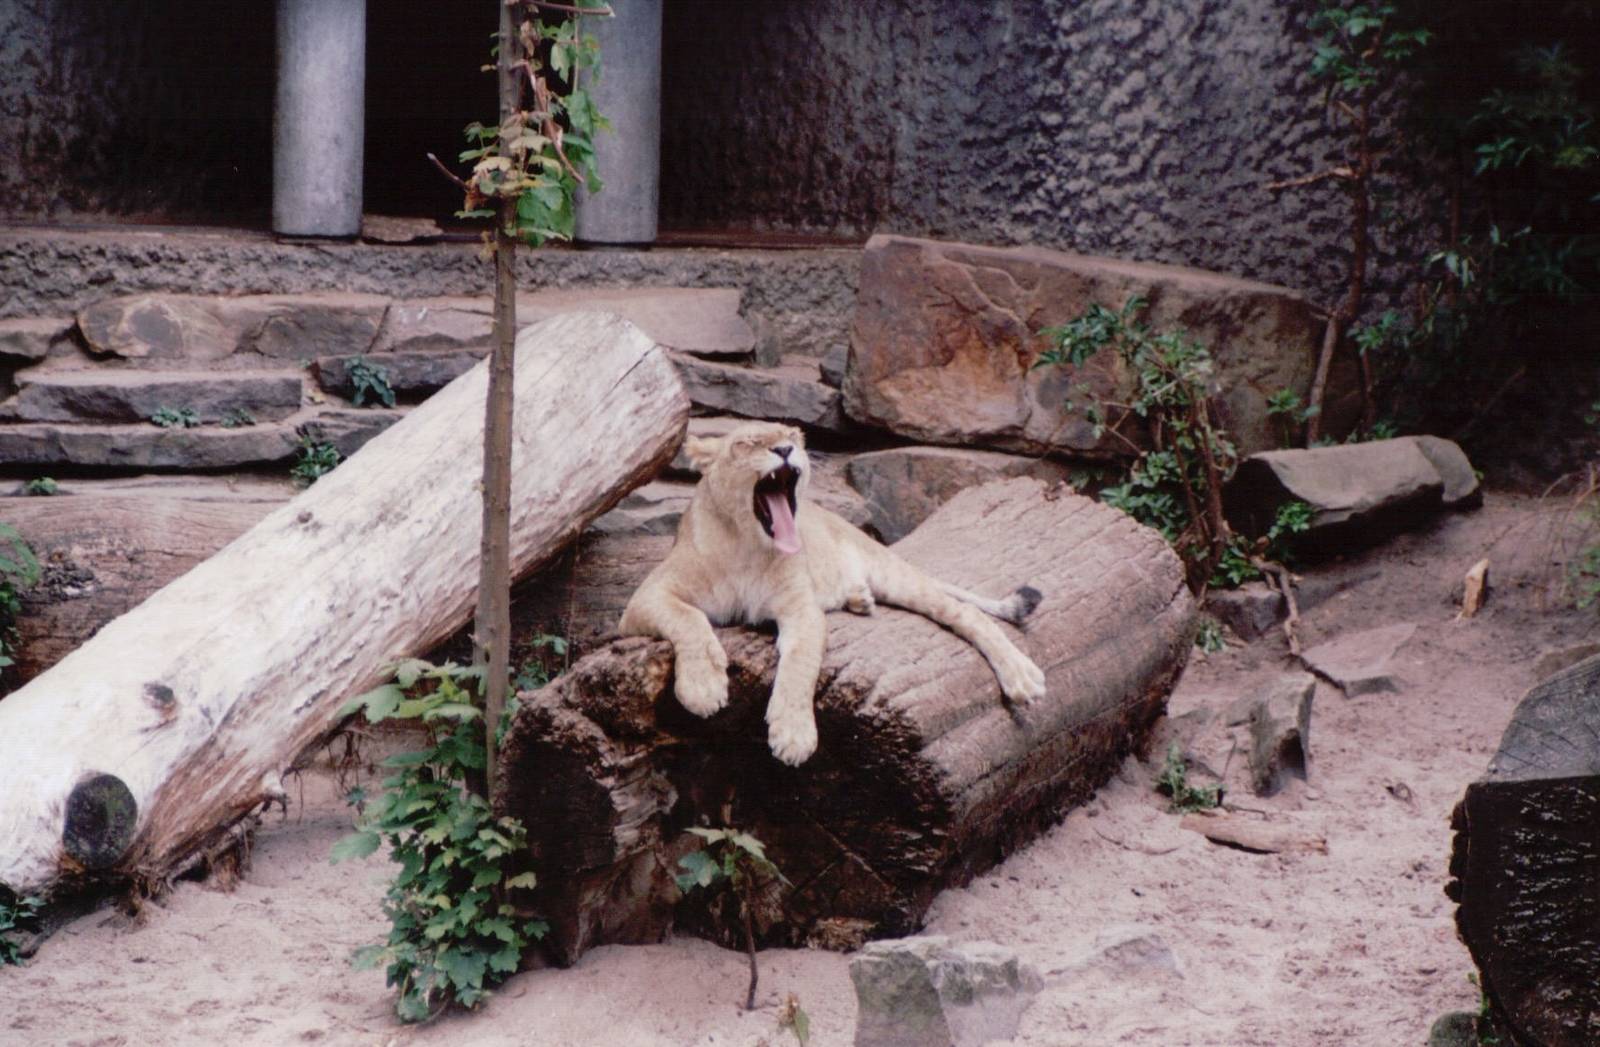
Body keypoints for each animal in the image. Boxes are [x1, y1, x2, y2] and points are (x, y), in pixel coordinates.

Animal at [618, 420, 1048, 766]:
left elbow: (800, 664)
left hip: (896, 575)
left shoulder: (801, 609)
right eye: (749, 443)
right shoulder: (647, 597)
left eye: (792, 437)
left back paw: (1021, 675)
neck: (747, 546)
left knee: (967, 614)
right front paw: (703, 687)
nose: (785, 451)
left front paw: (794, 734)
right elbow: (689, 619)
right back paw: (859, 598)